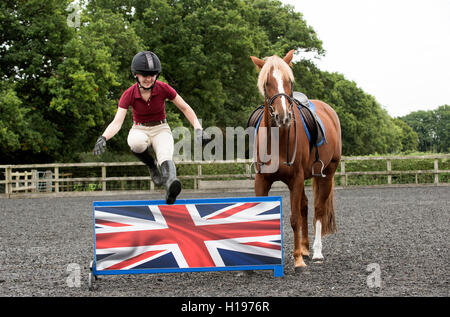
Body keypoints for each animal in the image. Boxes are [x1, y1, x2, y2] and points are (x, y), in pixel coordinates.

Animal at [250, 50, 342, 268]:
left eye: (289, 81)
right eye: (266, 83)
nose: (283, 116)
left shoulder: (296, 179)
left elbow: (294, 219)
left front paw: (298, 260)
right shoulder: (261, 180)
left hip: (327, 174)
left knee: (317, 209)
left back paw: (315, 252)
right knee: (305, 207)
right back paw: (306, 248)